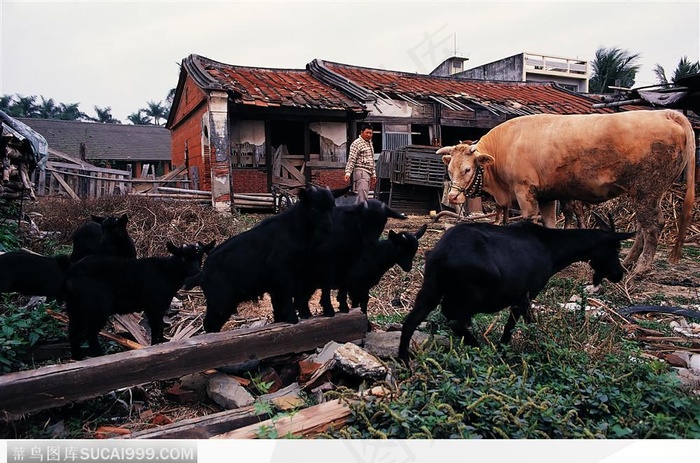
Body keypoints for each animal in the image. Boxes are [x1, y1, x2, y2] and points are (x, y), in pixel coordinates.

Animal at [65, 241, 213, 360]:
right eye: (183, 258)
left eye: (200, 256)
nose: (196, 271)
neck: (168, 272)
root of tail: (72, 273)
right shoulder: (155, 305)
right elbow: (156, 327)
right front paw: (157, 346)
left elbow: (157, 327)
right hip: (98, 308)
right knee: (90, 333)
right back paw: (99, 356)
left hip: (75, 307)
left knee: (74, 331)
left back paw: (77, 358)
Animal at [190, 183, 334, 332]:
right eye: (314, 208)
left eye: (332, 207)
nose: (329, 226)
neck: (294, 229)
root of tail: (203, 273)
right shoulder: (283, 273)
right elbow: (287, 296)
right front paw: (293, 319)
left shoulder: (292, 278)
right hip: (220, 300)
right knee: (209, 323)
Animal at [396, 221, 632, 366]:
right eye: (614, 248)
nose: (618, 273)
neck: (550, 248)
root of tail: (439, 254)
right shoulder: (524, 295)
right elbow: (514, 326)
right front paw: (507, 351)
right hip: (470, 296)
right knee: (456, 321)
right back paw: (480, 348)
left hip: (430, 290)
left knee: (410, 322)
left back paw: (404, 360)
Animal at [438, 110, 696, 274]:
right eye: (449, 170)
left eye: (467, 169)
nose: (452, 197)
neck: (505, 146)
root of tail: (665, 114)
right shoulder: (547, 196)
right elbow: (550, 223)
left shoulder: (525, 191)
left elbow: (530, 220)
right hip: (643, 194)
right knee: (643, 228)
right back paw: (628, 262)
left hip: (647, 192)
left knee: (652, 227)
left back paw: (639, 270)